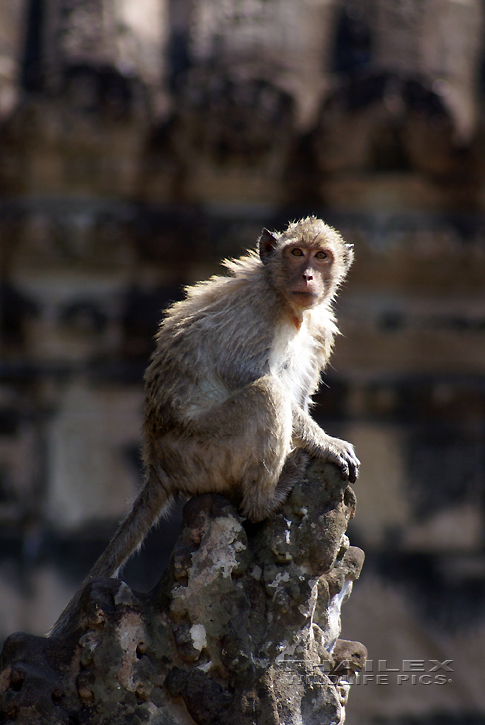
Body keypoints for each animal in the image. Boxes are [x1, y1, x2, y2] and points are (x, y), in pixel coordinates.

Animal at [51, 216, 358, 632]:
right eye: (296, 253)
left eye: (321, 256)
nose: (308, 275)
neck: (289, 306)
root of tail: (158, 464)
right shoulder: (257, 312)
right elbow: (249, 375)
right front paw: (327, 443)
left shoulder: (319, 327)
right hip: (201, 453)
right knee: (265, 395)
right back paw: (265, 499)